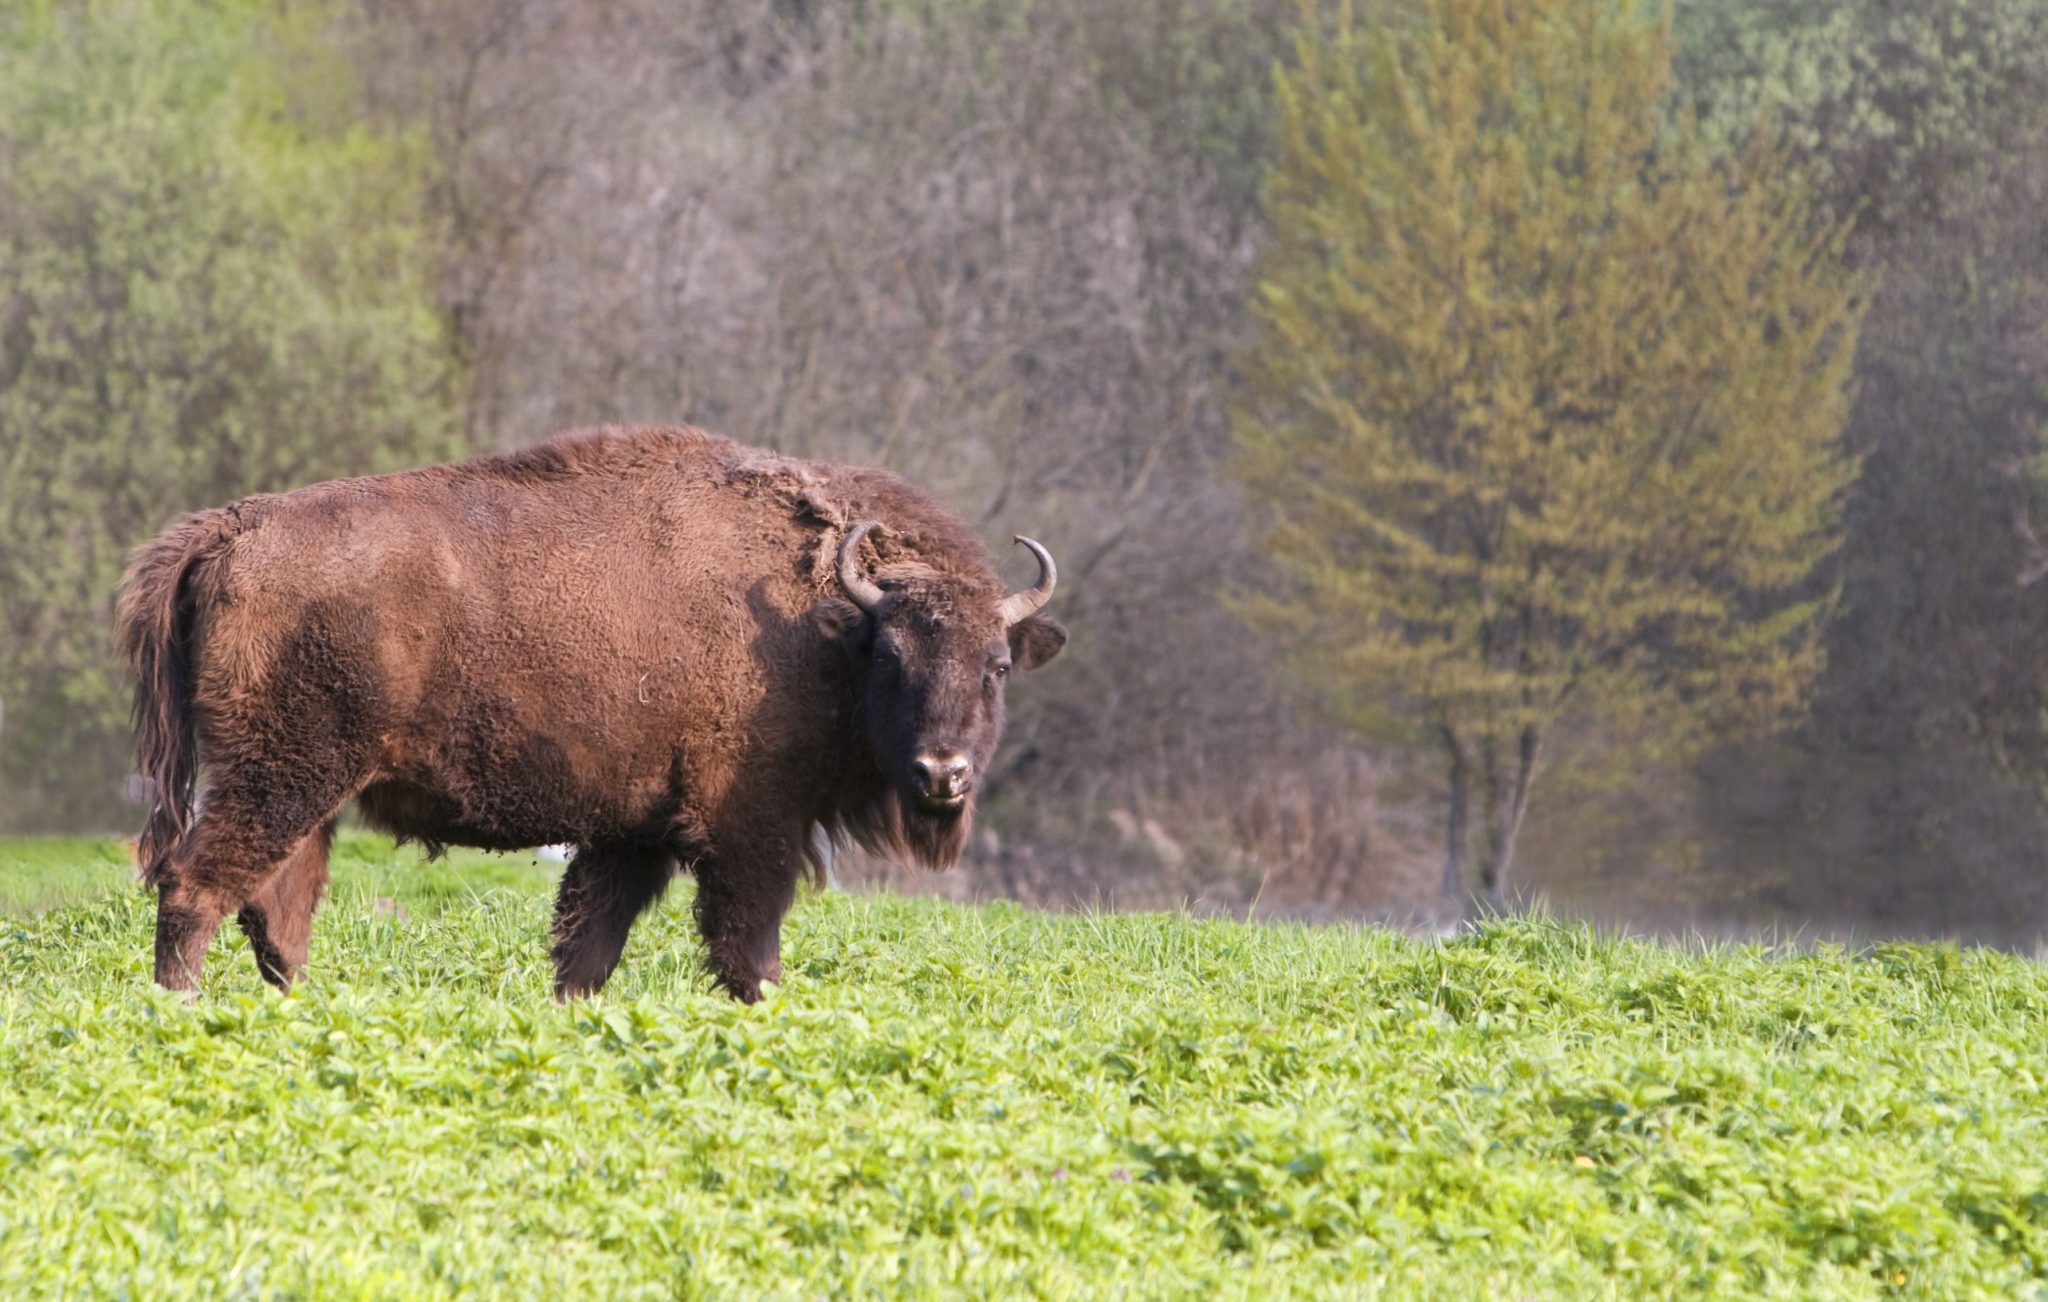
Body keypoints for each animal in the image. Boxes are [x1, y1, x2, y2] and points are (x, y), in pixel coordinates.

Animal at [118, 426, 1065, 1001]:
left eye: (996, 666)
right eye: (892, 659)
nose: (942, 774)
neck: (825, 620)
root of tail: (236, 525)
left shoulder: (632, 835)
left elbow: (586, 946)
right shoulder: (751, 832)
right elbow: (747, 951)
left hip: (307, 794)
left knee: (277, 912)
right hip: (282, 778)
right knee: (197, 887)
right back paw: (182, 1007)